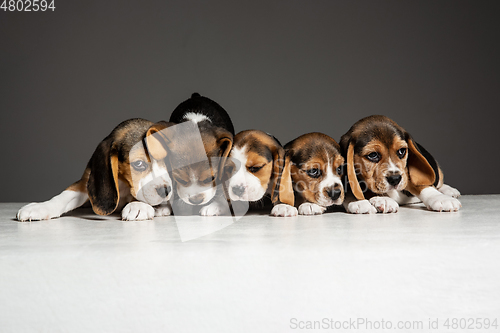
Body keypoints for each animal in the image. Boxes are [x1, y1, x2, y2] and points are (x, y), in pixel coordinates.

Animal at [17, 118, 176, 222]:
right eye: (138, 164)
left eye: (167, 161)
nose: (166, 190)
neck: (123, 180)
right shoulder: (86, 182)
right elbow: (63, 196)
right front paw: (41, 207)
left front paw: (138, 205)